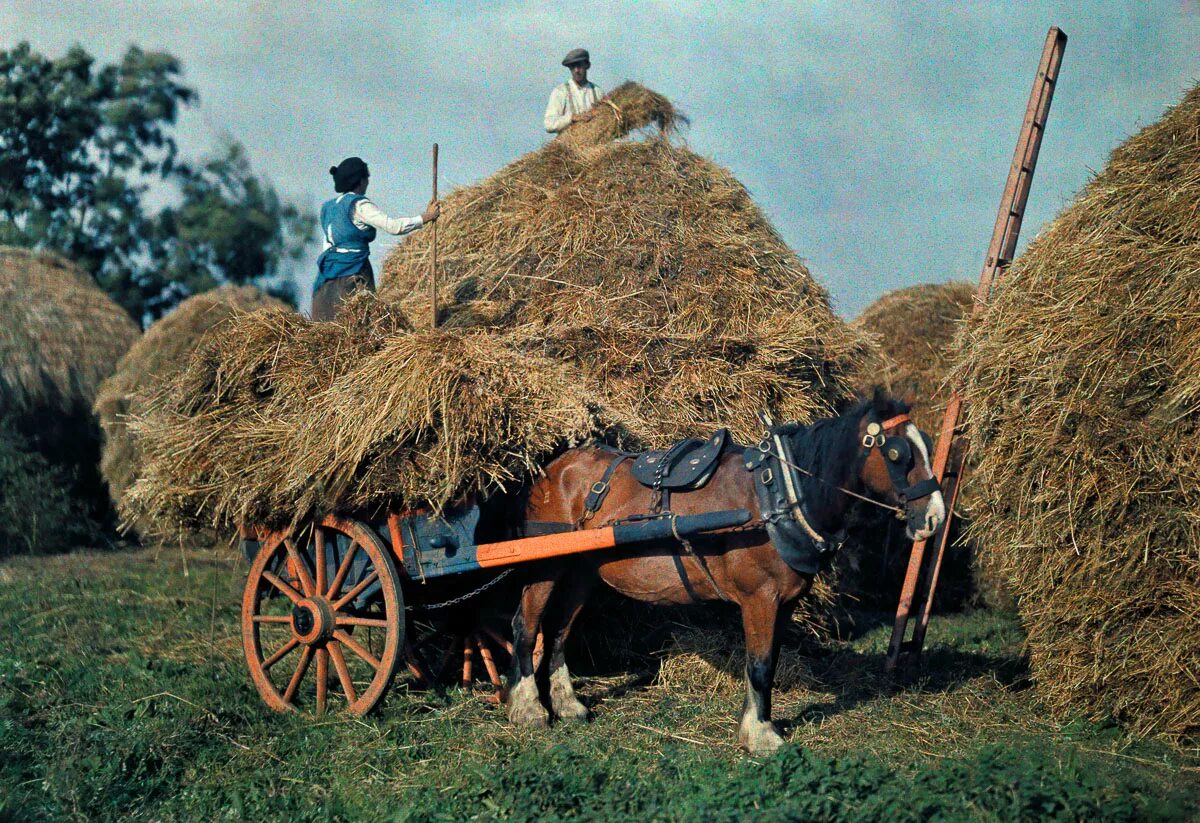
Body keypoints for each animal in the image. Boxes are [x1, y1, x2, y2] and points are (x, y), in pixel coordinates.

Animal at [506, 391, 945, 753]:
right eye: (898, 454)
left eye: (926, 445)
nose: (936, 517)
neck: (775, 498)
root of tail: (554, 467)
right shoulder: (759, 598)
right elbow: (760, 664)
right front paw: (762, 735)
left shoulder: (783, 603)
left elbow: (768, 661)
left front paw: (754, 724)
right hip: (546, 564)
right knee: (527, 626)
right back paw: (528, 708)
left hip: (584, 571)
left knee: (559, 630)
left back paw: (568, 704)